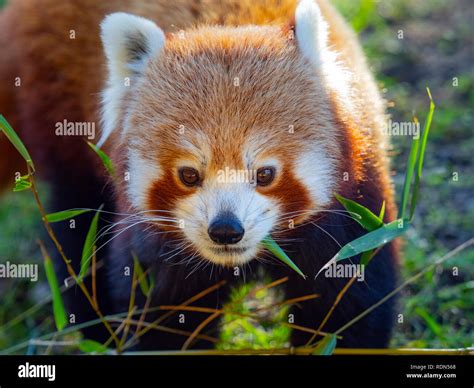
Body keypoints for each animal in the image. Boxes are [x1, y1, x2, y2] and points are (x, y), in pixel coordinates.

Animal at [0, 0, 400, 348]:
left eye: (265, 173)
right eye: (189, 175)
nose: (225, 230)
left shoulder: (349, 214)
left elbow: (347, 310)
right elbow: (162, 317)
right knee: (78, 230)